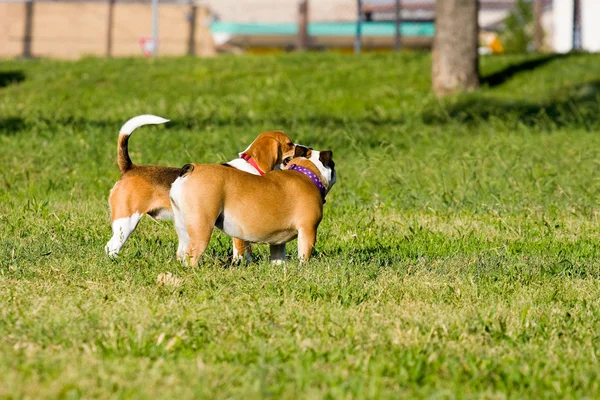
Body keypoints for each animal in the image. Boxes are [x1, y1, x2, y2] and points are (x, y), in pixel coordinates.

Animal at [106, 114, 298, 256]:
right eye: (290, 143)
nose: (302, 147)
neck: (251, 166)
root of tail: (130, 168)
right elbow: (242, 251)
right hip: (126, 221)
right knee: (111, 246)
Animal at [170, 147, 338, 266]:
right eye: (333, 164)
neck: (306, 172)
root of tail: (192, 168)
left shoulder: (278, 243)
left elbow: (278, 257)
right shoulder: (308, 231)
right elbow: (304, 255)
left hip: (184, 227)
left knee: (182, 251)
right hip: (202, 227)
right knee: (192, 253)